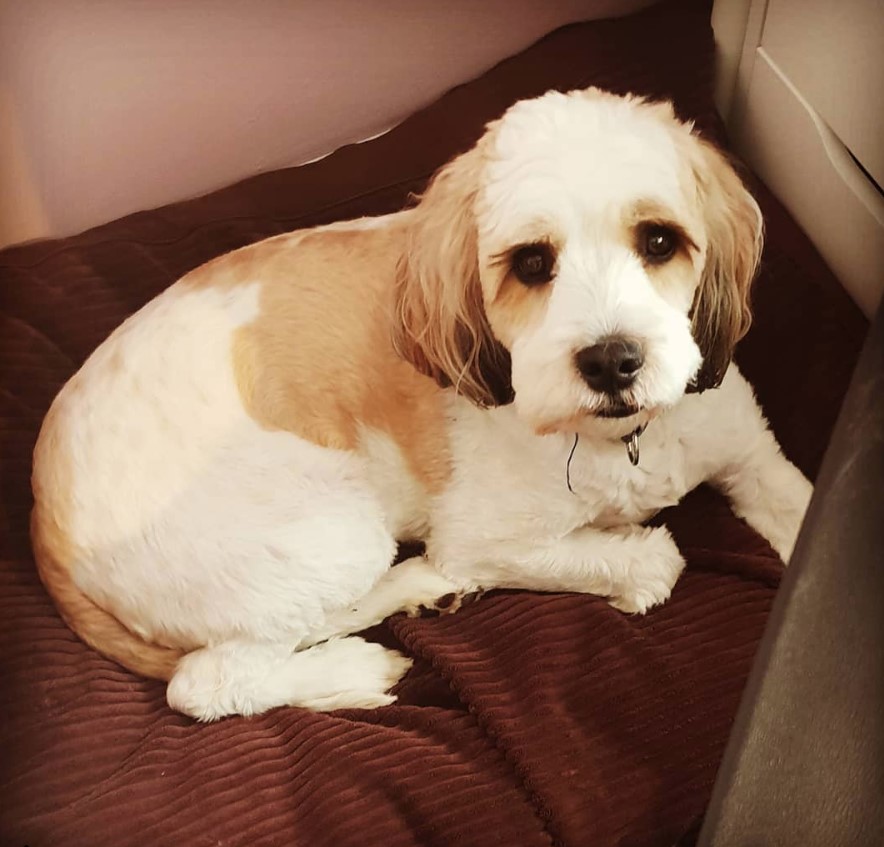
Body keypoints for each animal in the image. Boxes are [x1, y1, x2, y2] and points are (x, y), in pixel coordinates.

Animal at [31, 88, 812, 724]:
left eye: (659, 240)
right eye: (532, 263)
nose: (612, 359)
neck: (623, 437)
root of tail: (43, 514)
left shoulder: (754, 456)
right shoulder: (484, 538)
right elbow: (643, 560)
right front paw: (632, 559)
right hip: (325, 534)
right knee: (207, 680)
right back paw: (366, 650)